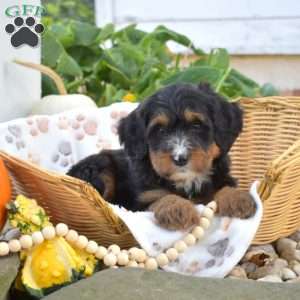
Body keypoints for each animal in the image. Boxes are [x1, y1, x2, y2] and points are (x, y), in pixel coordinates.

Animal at [68, 83, 255, 231]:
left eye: (196, 125)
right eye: (160, 130)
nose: (180, 158)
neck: (186, 181)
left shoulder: (222, 178)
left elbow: (225, 186)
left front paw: (237, 199)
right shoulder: (144, 199)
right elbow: (162, 196)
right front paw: (177, 209)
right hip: (99, 167)